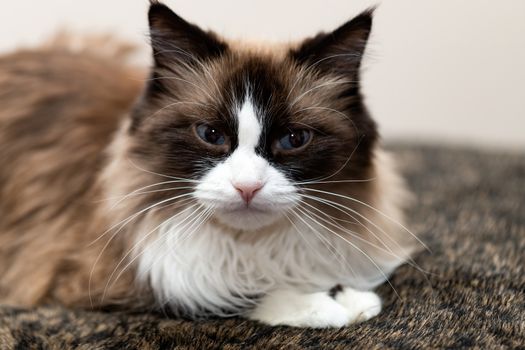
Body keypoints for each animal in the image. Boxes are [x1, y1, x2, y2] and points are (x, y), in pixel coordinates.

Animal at [0, 1, 418, 326]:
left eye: (294, 140)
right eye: (211, 134)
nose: (247, 187)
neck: (249, 246)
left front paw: (351, 298)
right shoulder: (94, 278)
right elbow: (218, 293)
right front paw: (327, 307)